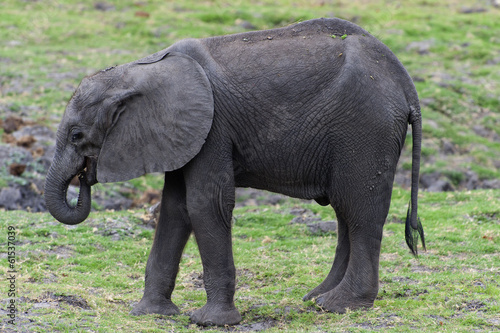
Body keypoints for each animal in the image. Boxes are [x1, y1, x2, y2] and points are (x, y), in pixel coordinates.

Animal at [45, 17, 424, 324]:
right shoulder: (184, 135)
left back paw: (340, 305)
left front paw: (210, 321)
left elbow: (205, 204)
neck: (142, 69)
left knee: (359, 210)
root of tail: (405, 83)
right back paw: (317, 299)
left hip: (367, 128)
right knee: (346, 212)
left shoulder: (212, 128)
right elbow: (175, 209)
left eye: (77, 136)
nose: (84, 177)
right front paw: (150, 314)